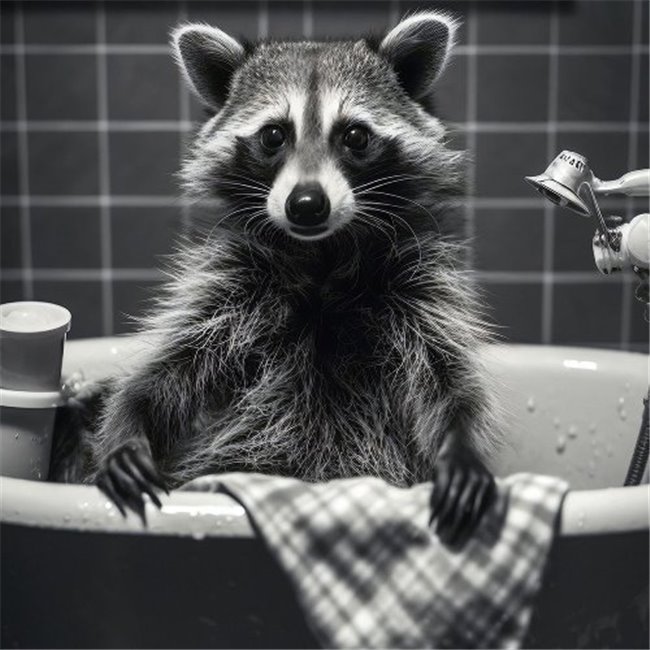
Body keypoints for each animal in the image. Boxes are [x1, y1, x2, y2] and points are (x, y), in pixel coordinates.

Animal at [62, 12, 500, 546]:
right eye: (274, 135)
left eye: (354, 136)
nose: (307, 204)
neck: (321, 258)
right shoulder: (228, 284)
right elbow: (168, 372)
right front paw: (127, 424)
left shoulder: (421, 283)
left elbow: (447, 378)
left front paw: (462, 443)